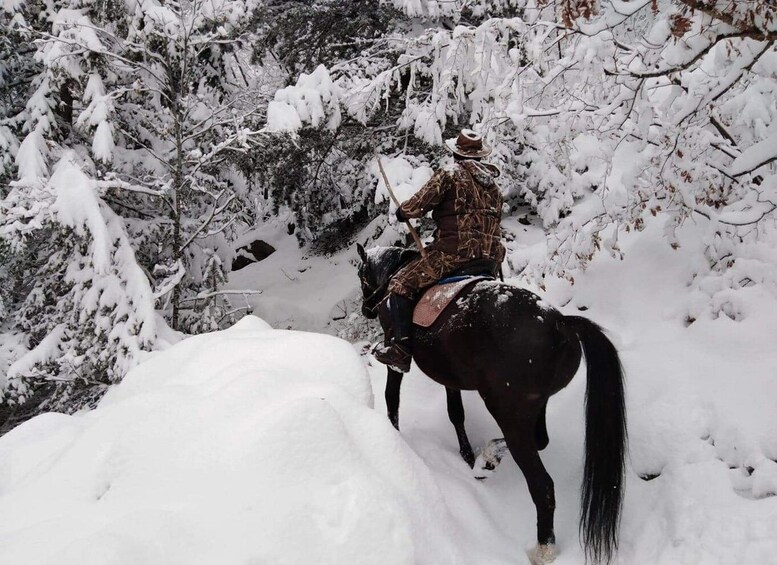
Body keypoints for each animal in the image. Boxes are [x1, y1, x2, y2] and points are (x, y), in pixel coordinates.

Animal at [356, 245, 624, 564]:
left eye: (360, 274)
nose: (366, 309)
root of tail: (558, 323)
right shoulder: (450, 376)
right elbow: (456, 414)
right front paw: (467, 456)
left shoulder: (396, 360)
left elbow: (392, 398)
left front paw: (393, 435)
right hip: (534, 406)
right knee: (541, 440)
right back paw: (487, 460)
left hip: (507, 411)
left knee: (542, 485)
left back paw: (543, 549)